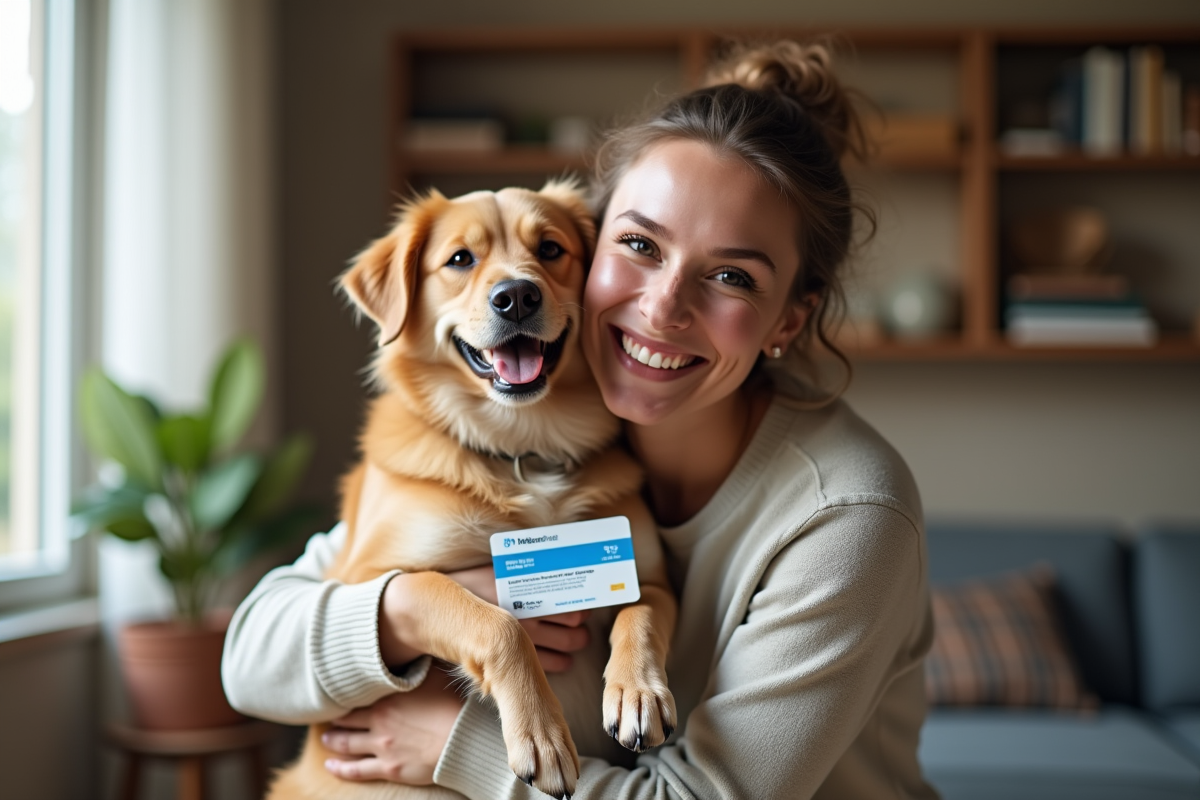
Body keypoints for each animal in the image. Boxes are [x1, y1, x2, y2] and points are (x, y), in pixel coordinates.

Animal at [271, 183, 681, 800]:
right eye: (460, 259)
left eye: (551, 249)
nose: (516, 296)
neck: (523, 452)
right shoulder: (367, 579)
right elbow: (497, 622)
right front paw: (542, 735)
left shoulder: (648, 573)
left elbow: (643, 612)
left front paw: (638, 692)